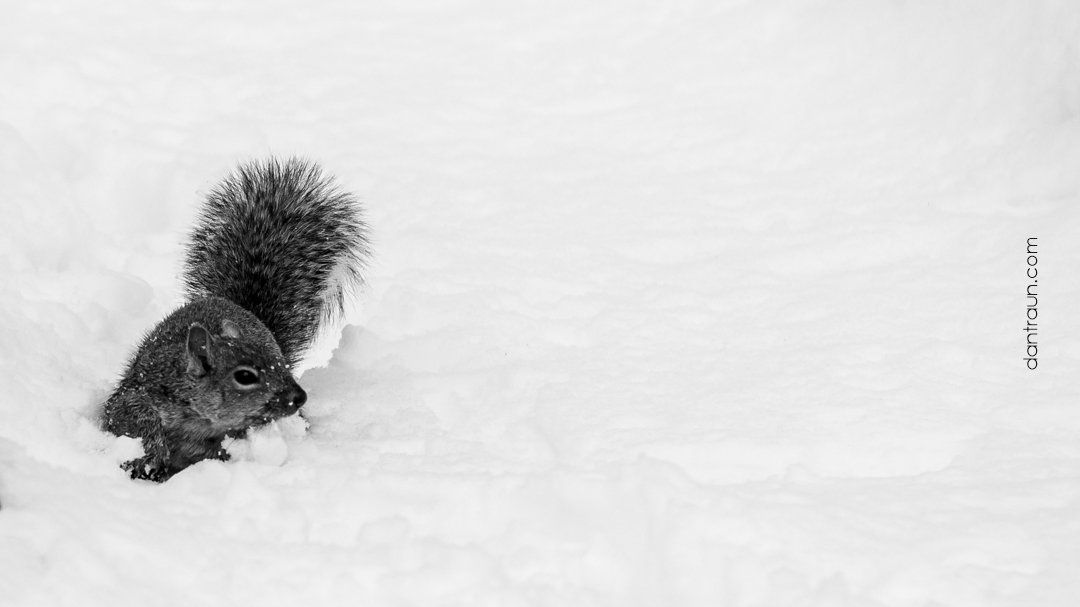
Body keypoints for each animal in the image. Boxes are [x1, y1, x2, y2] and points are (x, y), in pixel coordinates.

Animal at [102, 157, 370, 482]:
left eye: (280, 362)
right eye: (245, 376)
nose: (299, 398)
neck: (199, 418)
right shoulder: (138, 396)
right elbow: (130, 421)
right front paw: (150, 456)